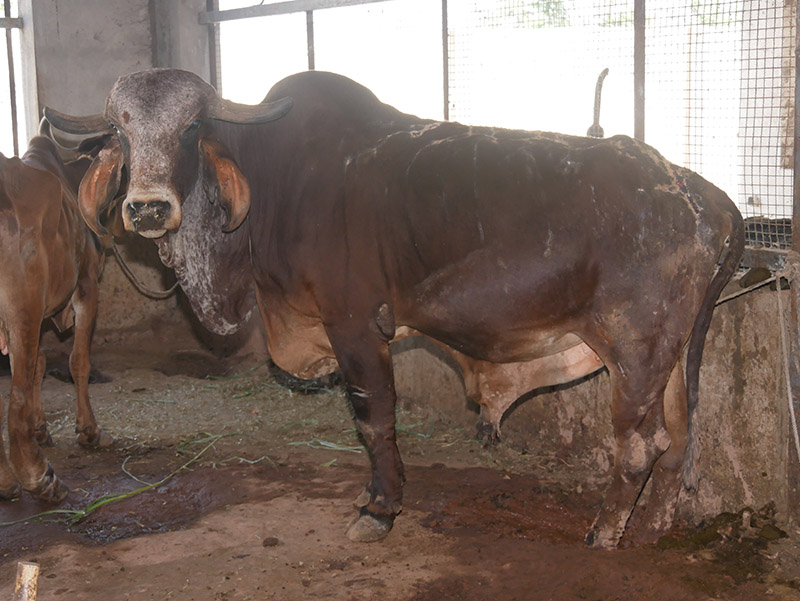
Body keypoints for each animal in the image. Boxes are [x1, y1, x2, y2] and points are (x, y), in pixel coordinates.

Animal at [0, 136, 111, 502]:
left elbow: (41, 363)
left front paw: (42, 428)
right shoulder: (86, 286)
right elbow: (79, 361)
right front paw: (88, 430)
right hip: (23, 308)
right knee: (16, 395)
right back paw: (37, 476)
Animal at [47, 68, 748, 548]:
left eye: (191, 127)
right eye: (121, 133)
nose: (147, 208)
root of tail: (694, 187)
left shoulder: (355, 324)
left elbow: (374, 417)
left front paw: (379, 507)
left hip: (637, 348)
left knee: (640, 445)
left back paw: (605, 531)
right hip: (670, 357)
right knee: (677, 441)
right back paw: (650, 527)